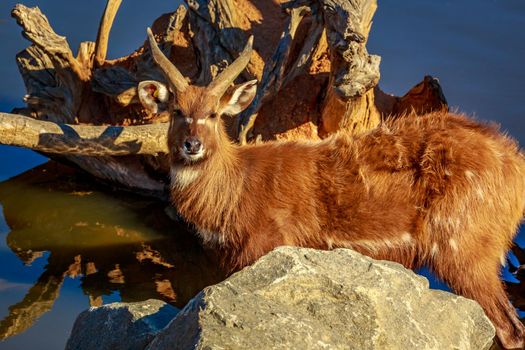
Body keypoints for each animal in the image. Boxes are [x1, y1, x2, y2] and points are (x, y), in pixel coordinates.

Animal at [139, 28, 524, 348]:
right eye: (176, 110)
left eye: (214, 114)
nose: (192, 145)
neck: (234, 191)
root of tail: (515, 164)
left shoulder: (265, 244)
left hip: (465, 249)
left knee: (510, 328)